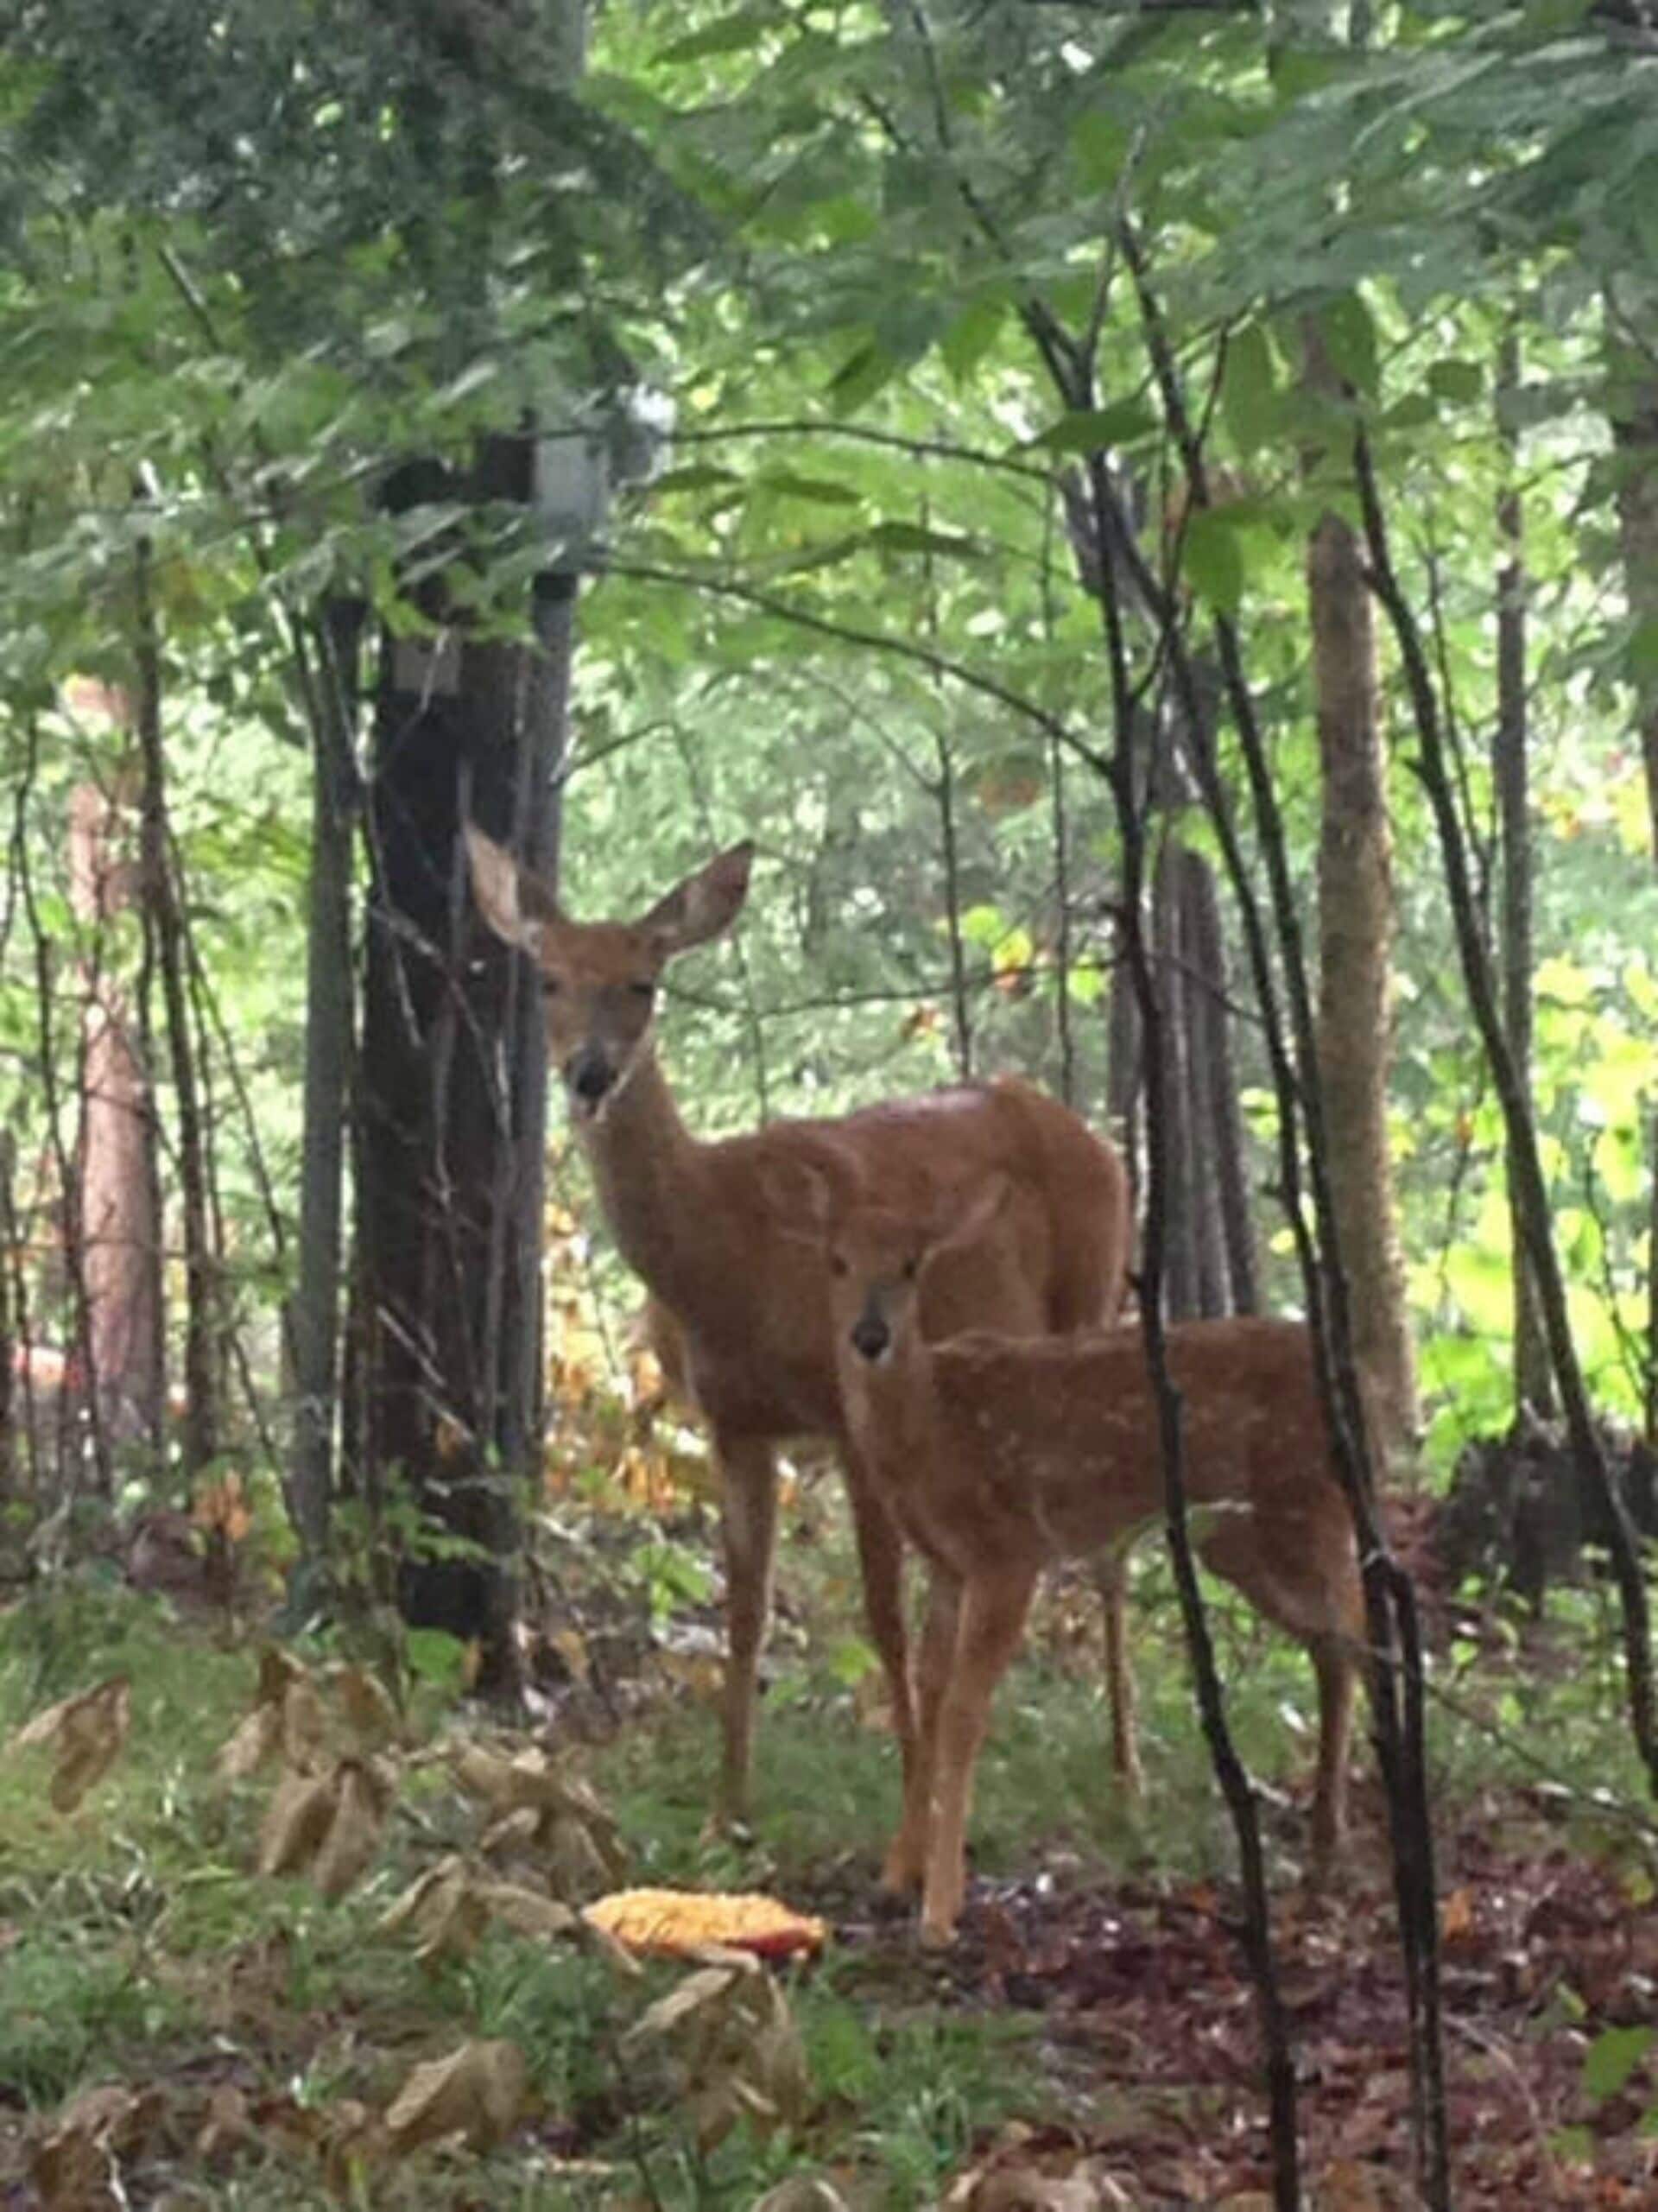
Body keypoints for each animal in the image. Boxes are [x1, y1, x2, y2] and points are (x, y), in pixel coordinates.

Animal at [462, 826, 1135, 1865]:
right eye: (548, 980)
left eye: (644, 980)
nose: (590, 1072)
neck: (722, 1253)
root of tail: (1101, 1141)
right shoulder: (735, 1424)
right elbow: (744, 1614)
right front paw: (724, 1812)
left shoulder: (846, 1411)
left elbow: (882, 1617)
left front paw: (907, 1833)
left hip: (1093, 1300)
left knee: (1102, 1553)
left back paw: (1124, 1782)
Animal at [805, 1164, 1366, 1948]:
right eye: (836, 1261)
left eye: (912, 1265)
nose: (869, 1335)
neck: (933, 1430)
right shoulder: (946, 1562)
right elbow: (929, 1692)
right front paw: (895, 1876)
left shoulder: (1011, 1552)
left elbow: (964, 1714)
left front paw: (940, 1909)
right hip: (1240, 1535)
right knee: (1333, 1641)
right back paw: (1323, 1841)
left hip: (1298, 1506)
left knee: (1360, 1625)